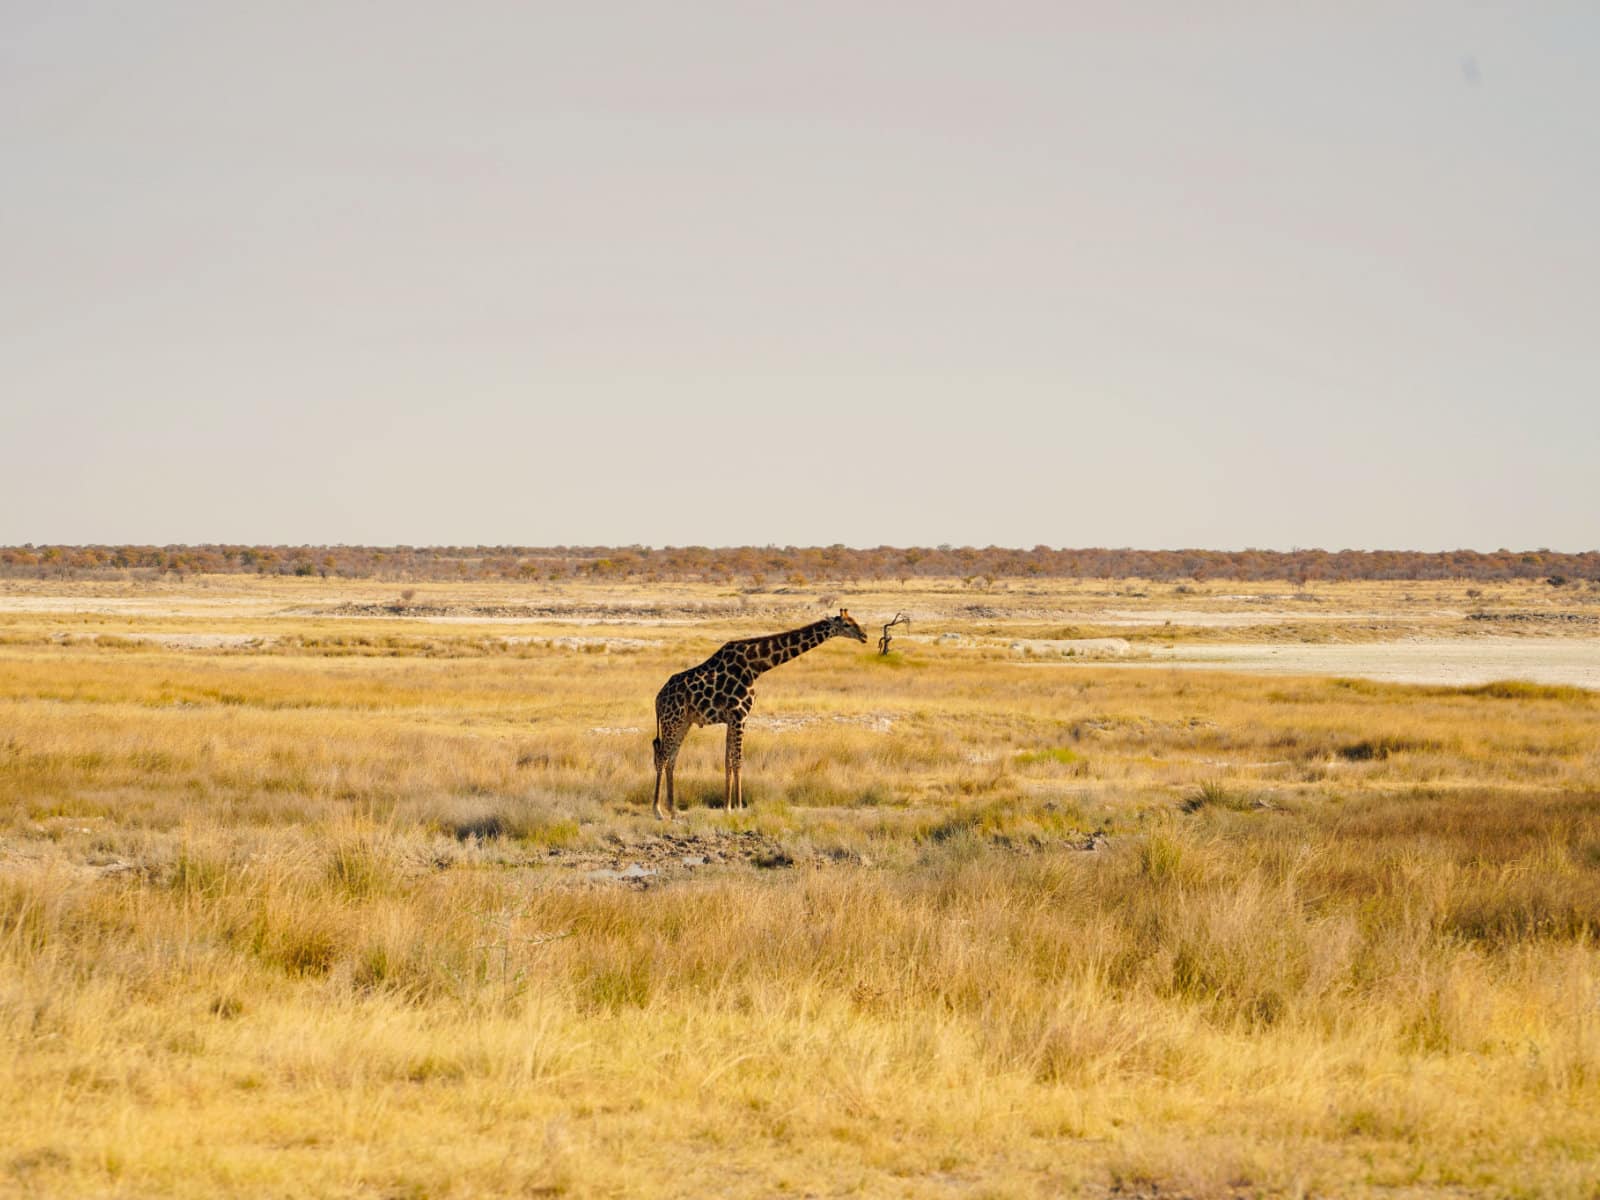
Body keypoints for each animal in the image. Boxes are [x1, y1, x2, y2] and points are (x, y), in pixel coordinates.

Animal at [650, 609, 869, 820]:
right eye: (847, 624)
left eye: (855, 621)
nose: (864, 636)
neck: (756, 666)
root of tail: (658, 698)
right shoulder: (739, 715)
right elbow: (737, 760)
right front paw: (737, 807)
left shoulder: (733, 718)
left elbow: (728, 761)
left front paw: (728, 807)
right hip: (672, 719)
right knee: (662, 757)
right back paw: (658, 811)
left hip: (684, 721)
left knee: (672, 759)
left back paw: (673, 810)